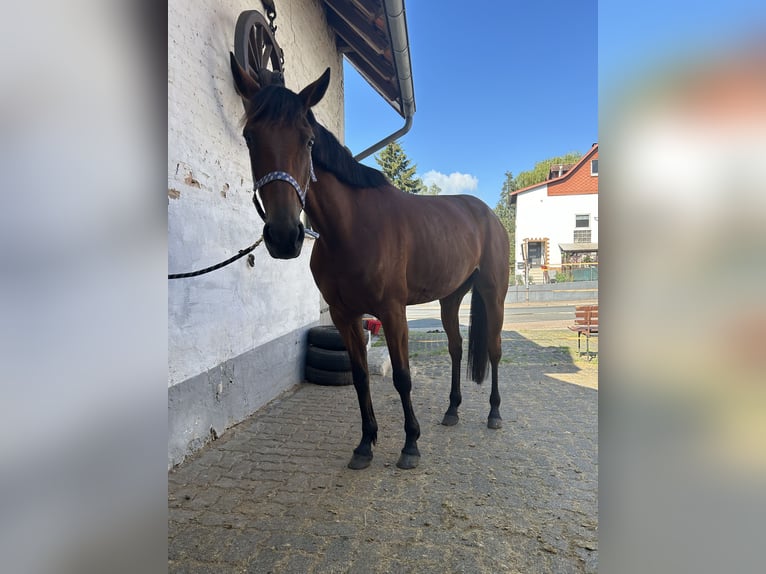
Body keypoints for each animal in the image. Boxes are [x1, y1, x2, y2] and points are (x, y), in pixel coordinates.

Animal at [231, 54, 512, 470]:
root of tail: (488, 214)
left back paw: (493, 413)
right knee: (457, 347)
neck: (351, 229)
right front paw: (365, 444)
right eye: (250, 137)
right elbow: (361, 377)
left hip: (494, 294)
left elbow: (402, 377)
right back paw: (452, 410)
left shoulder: (393, 312)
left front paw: (410, 445)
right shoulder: (344, 316)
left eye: (308, 140)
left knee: (493, 349)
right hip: (450, 298)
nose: (284, 236)